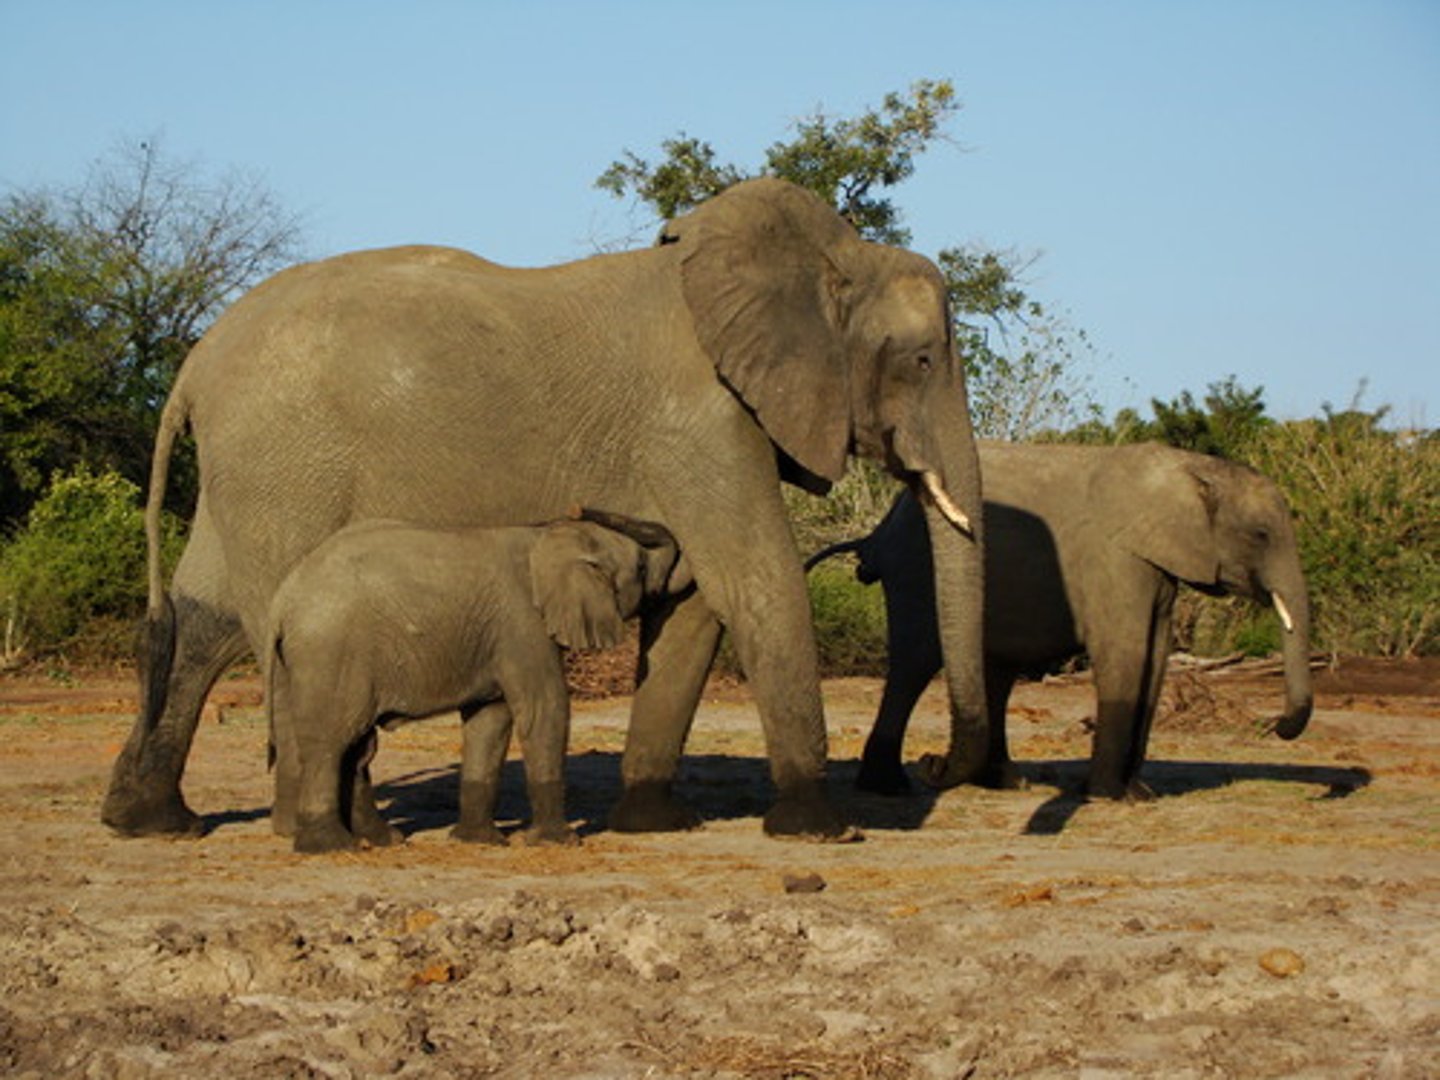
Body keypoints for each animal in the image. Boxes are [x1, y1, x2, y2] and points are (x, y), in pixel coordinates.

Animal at [266, 511, 682, 853]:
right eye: (640, 567)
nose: (584, 505)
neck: (545, 540)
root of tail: (283, 599)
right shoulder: (522, 624)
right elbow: (543, 708)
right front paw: (557, 842)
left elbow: (490, 720)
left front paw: (478, 841)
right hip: (331, 651)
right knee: (331, 742)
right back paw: (331, 847)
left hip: (307, 661)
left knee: (355, 746)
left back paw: (383, 841)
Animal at [807, 441, 1313, 800]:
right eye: (1261, 535)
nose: (1276, 726)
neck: (1191, 467)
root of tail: (880, 531)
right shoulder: (1113, 559)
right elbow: (1126, 654)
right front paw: (1109, 796)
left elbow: (1155, 659)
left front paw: (1140, 794)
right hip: (915, 571)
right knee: (915, 663)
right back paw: (890, 787)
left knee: (995, 674)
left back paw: (1007, 784)